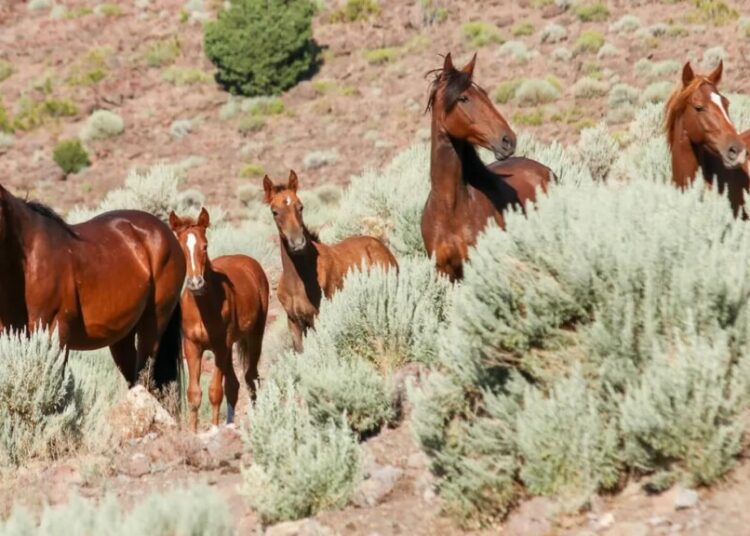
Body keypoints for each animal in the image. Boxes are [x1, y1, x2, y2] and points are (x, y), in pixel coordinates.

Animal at [169, 208, 269, 431]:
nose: (196, 283)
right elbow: (194, 394)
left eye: (205, 246)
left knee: (250, 377)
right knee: (234, 384)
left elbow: (215, 391)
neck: (203, 308)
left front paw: (214, 429)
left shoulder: (219, 347)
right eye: (180, 248)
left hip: (254, 335)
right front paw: (194, 432)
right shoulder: (192, 347)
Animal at [263, 170, 398, 352]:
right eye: (274, 212)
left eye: (300, 207)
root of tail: (381, 246)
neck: (299, 280)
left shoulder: (317, 318)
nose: (298, 243)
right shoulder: (294, 322)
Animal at [421, 52, 554, 281]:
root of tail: (545, 170)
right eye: (463, 98)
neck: (450, 209)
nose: (508, 140)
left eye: (484, 94)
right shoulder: (445, 273)